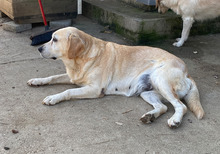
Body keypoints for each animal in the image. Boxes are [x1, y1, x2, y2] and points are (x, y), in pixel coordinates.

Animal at [27, 26, 205, 127]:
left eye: (55, 39)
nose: (39, 49)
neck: (82, 58)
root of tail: (187, 72)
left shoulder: (94, 89)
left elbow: (68, 92)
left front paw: (53, 98)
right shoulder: (73, 77)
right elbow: (52, 77)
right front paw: (37, 81)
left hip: (160, 79)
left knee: (180, 106)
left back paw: (175, 120)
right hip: (146, 92)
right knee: (163, 107)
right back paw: (150, 116)